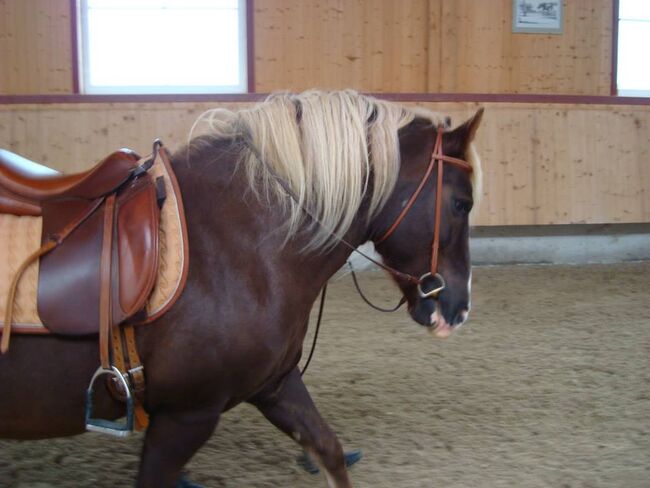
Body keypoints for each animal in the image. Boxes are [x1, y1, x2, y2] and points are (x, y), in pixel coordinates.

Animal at [0, 89, 480, 486]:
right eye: (462, 203)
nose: (458, 310)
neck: (236, 246)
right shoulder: (185, 418)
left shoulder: (274, 385)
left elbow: (329, 450)